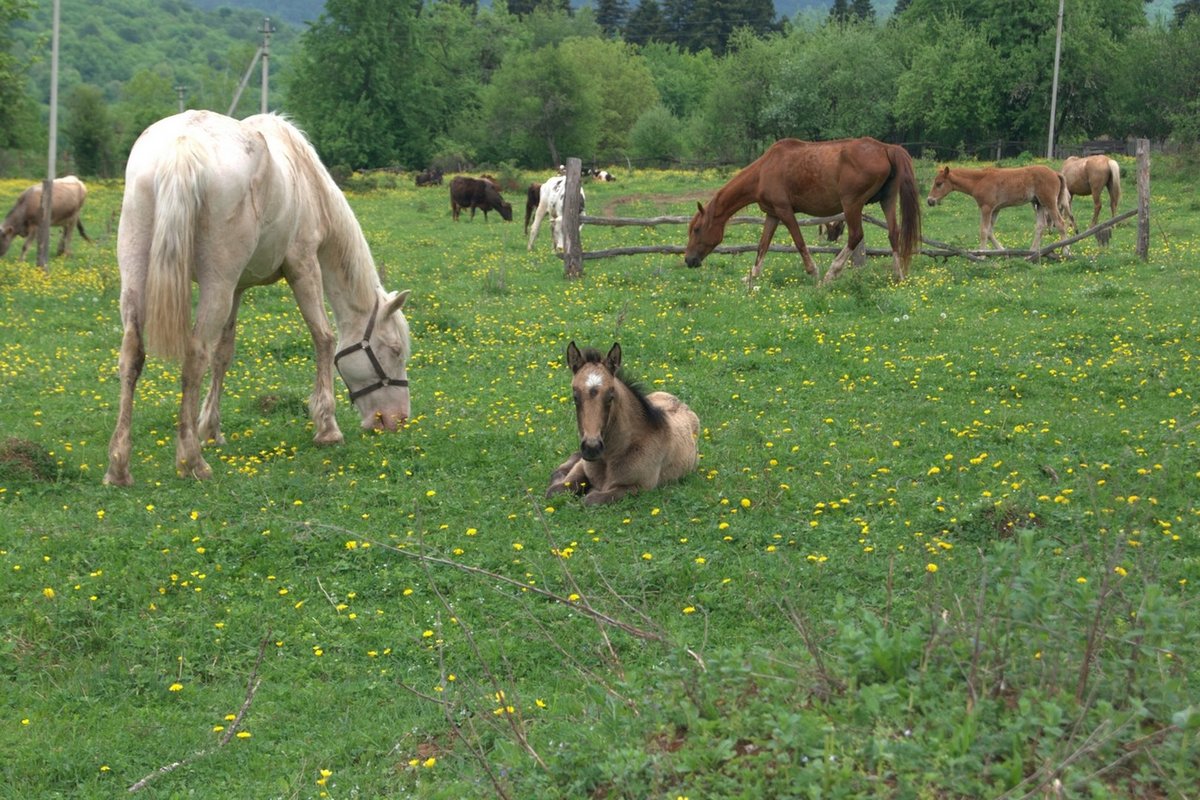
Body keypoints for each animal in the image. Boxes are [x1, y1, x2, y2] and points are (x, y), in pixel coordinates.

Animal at [109, 110, 417, 489]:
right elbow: (324, 338)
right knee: (194, 356)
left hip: (141, 274)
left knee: (133, 354)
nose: (397, 419)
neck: (305, 178)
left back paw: (119, 466)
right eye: (395, 350)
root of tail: (182, 147)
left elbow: (223, 355)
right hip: (216, 283)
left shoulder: (237, 288)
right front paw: (327, 427)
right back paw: (191, 461)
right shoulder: (303, 266)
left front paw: (210, 429)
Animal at [547, 343, 700, 506]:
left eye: (610, 396)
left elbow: (592, 499)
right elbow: (554, 490)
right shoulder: (582, 465)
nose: (591, 448)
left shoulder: (639, 487)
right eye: (575, 396)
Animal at [681, 137, 921, 284]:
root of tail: (885, 148)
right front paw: (751, 276)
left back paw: (831, 273)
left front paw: (813, 271)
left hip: (852, 204)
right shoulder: (772, 214)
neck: (764, 170)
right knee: (893, 234)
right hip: (887, 200)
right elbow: (762, 246)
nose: (689, 260)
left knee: (856, 235)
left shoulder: (785, 211)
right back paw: (898, 275)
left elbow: (799, 242)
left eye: (697, 229)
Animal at [921, 167, 1075, 255]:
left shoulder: (986, 208)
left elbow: (983, 231)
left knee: (1061, 223)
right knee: (1040, 227)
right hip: (1039, 204)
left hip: (1049, 202)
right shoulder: (995, 209)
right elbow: (990, 231)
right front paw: (1002, 251)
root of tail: (1055, 173)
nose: (930, 200)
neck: (979, 181)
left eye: (939, 183)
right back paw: (1031, 253)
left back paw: (1066, 251)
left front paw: (981, 255)